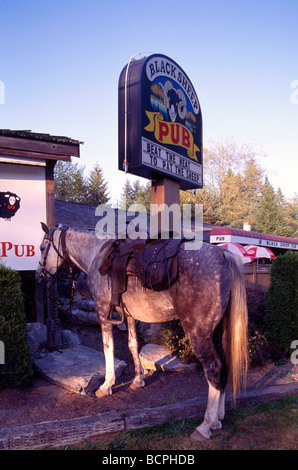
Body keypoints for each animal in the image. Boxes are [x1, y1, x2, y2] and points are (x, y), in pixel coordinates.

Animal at [36, 224, 248, 440]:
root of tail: (223, 254)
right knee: (223, 368)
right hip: (217, 332)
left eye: (43, 248)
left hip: (199, 334)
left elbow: (108, 348)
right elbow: (133, 344)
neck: (96, 255)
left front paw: (107, 385)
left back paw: (206, 425)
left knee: (214, 370)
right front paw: (138, 380)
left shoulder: (103, 312)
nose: (39, 276)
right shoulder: (129, 315)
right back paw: (218, 419)